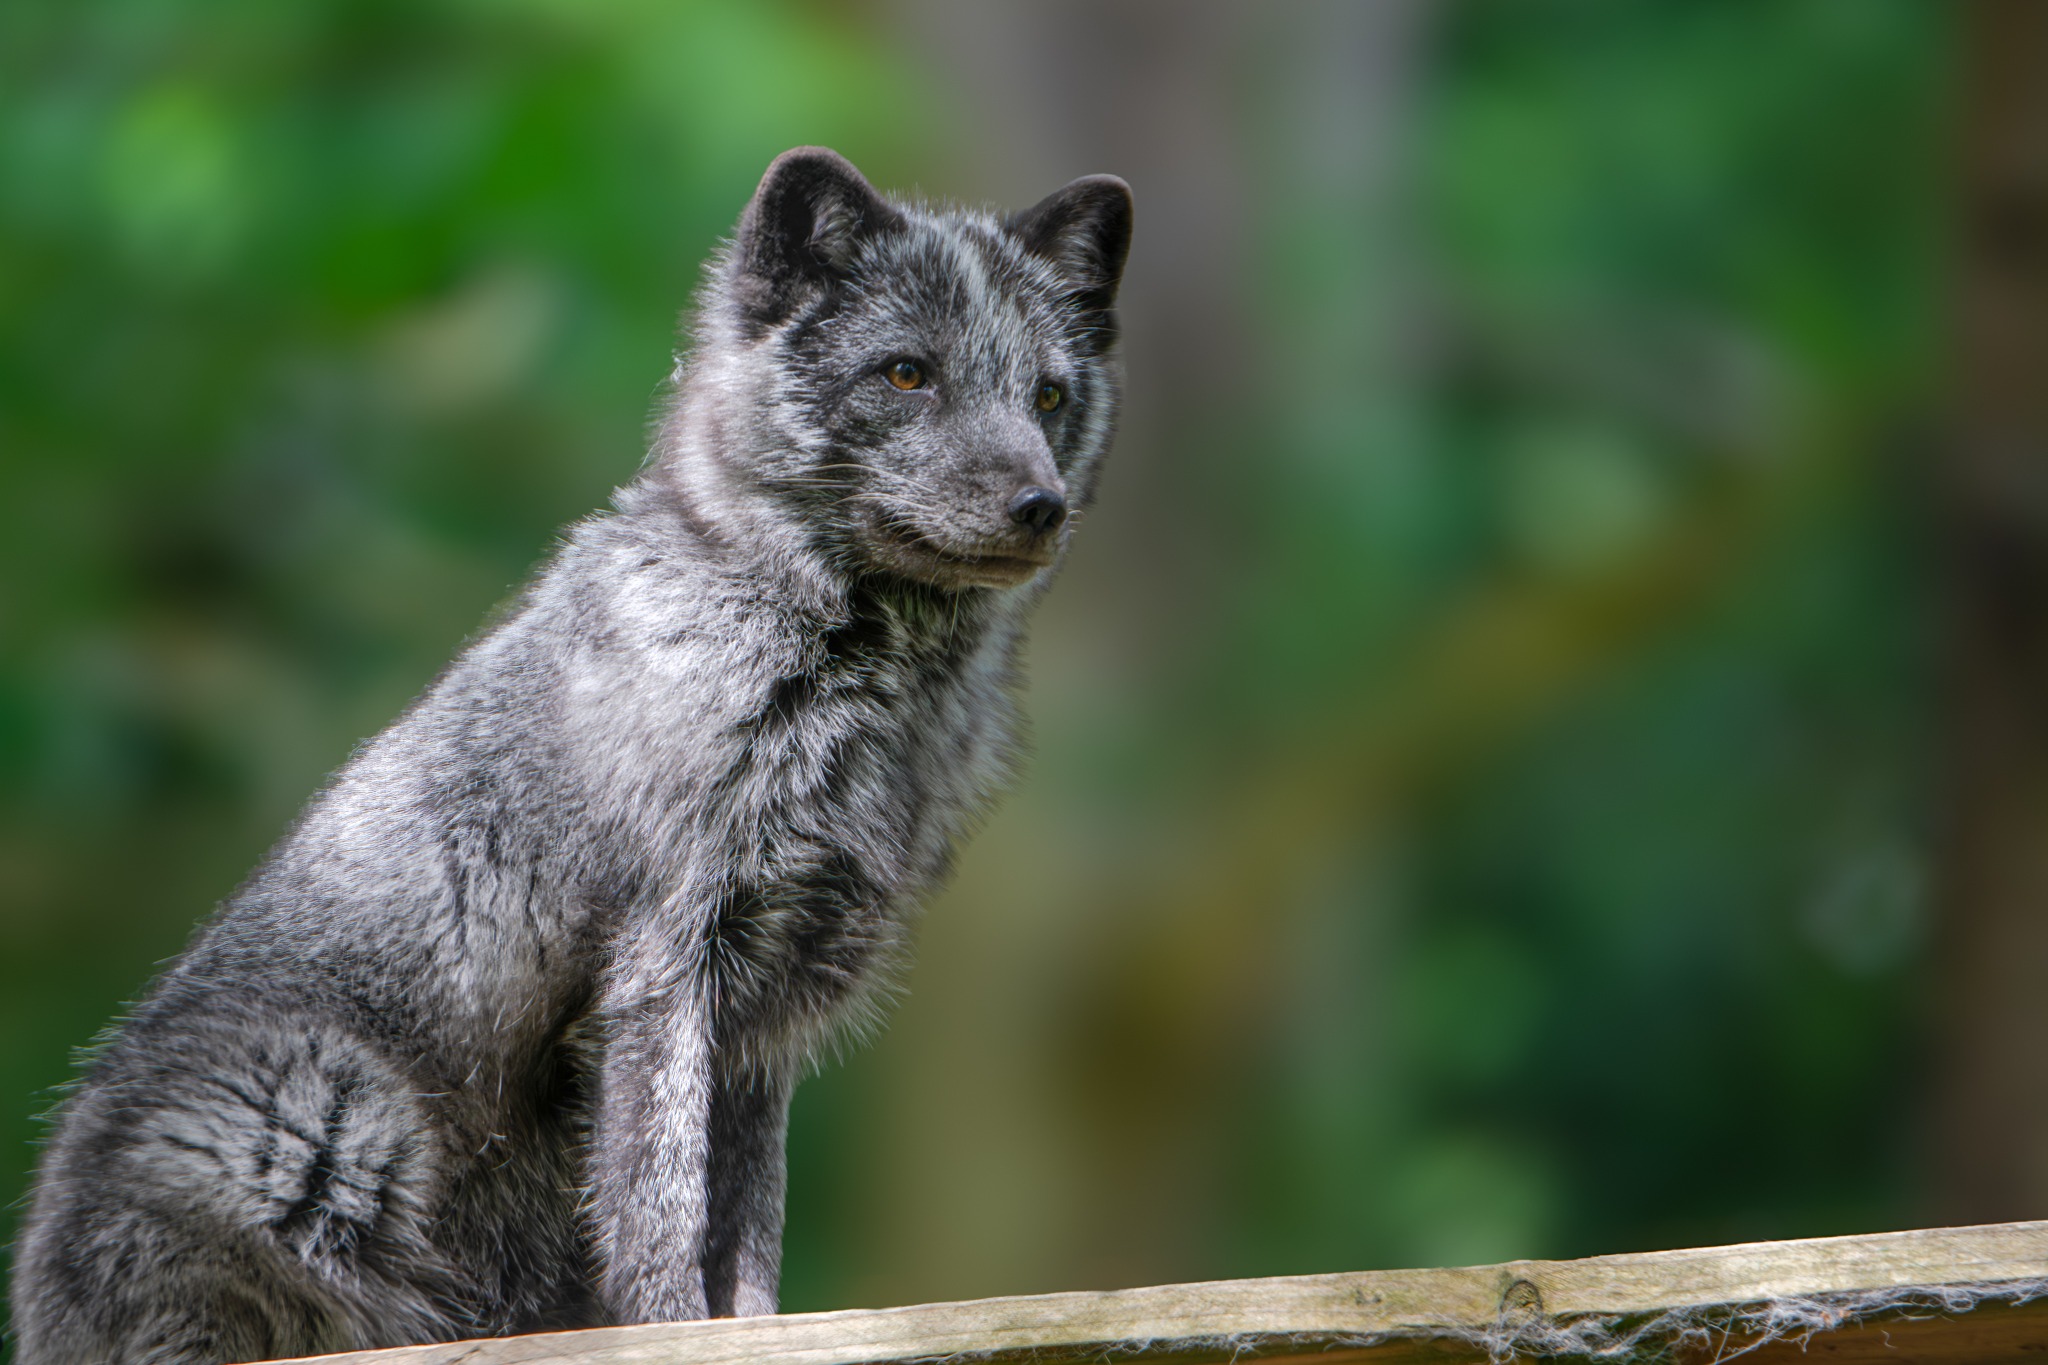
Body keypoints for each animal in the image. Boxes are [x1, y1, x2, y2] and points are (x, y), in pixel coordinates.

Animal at [10, 146, 1132, 1365]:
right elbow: (660, 1214)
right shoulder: (665, 961)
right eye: (906, 375)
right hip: (320, 1104)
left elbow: (745, 1228)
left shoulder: (768, 1012)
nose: (1039, 507)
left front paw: (760, 1332)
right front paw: (676, 1335)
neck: (857, 696)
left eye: (1048, 395)